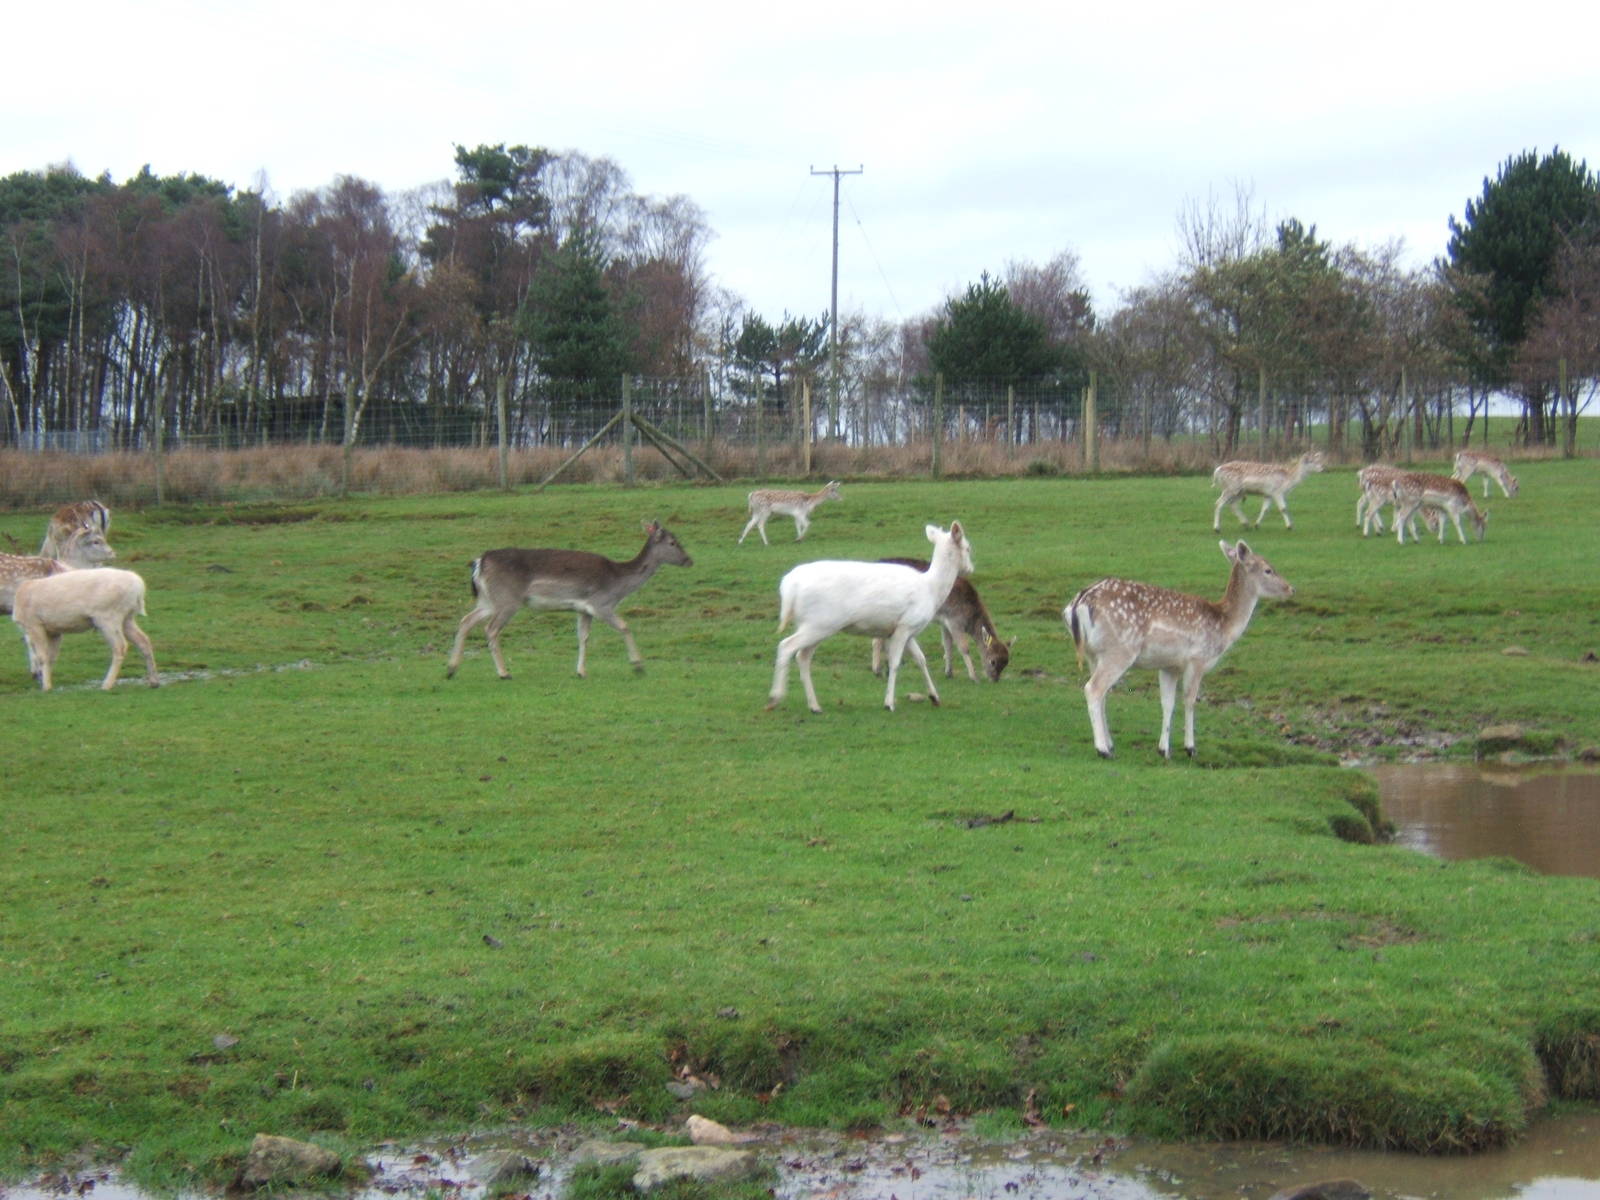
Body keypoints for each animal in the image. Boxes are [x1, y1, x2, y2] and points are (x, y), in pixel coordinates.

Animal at [11, 567, 159, 692]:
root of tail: (138, 586)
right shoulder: (54, 631)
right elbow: (51, 657)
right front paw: (47, 683)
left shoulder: (34, 624)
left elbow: (42, 657)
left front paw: (45, 687)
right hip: (127, 618)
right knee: (144, 641)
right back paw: (154, 682)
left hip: (108, 616)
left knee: (120, 646)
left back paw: (106, 684)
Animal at [445, 520, 693, 680]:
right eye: (673, 542)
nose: (689, 560)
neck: (618, 584)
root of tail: (479, 562)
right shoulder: (601, 603)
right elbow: (624, 626)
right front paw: (638, 666)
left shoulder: (583, 609)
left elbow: (583, 637)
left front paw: (581, 671)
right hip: (507, 600)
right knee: (490, 629)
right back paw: (504, 673)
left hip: (487, 600)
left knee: (465, 621)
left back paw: (451, 669)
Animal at [768, 522, 973, 713]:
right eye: (968, 547)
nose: (970, 569)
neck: (931, 590)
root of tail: (789, 586)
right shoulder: (906, 625)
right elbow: (895, 663)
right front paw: (889, 703)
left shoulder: (905, 631)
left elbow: (921, 659)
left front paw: (935, 697)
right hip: (820, 623)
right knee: (786, 646)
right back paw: (775, 698)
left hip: (814, 624)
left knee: (802, 656)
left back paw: (814, 706)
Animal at [868, 557, 1011, 683]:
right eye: (993, 661)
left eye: (1006, 662)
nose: (995, 679)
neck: (970, 615)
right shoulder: (955, 620)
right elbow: (963, 647)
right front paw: (973, 677)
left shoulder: (945, 623)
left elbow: (947, 645)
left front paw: (949, 672)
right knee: (877, 640)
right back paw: (877, 670)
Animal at [1063, 540, 1294, 760]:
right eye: (1268, 570)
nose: (1291, 588)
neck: (1223, 625)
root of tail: (1078, 604)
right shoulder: (1197, 658)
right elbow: (1190, 700)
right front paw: (1190, 748)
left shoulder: (1169, 666)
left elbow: (1168, 703)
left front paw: (1164, 750)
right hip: (1120, 650)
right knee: (1093, 689)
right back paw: (1103, 750)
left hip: (1094, 654)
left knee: (1102, 693)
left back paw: (1110, 744)